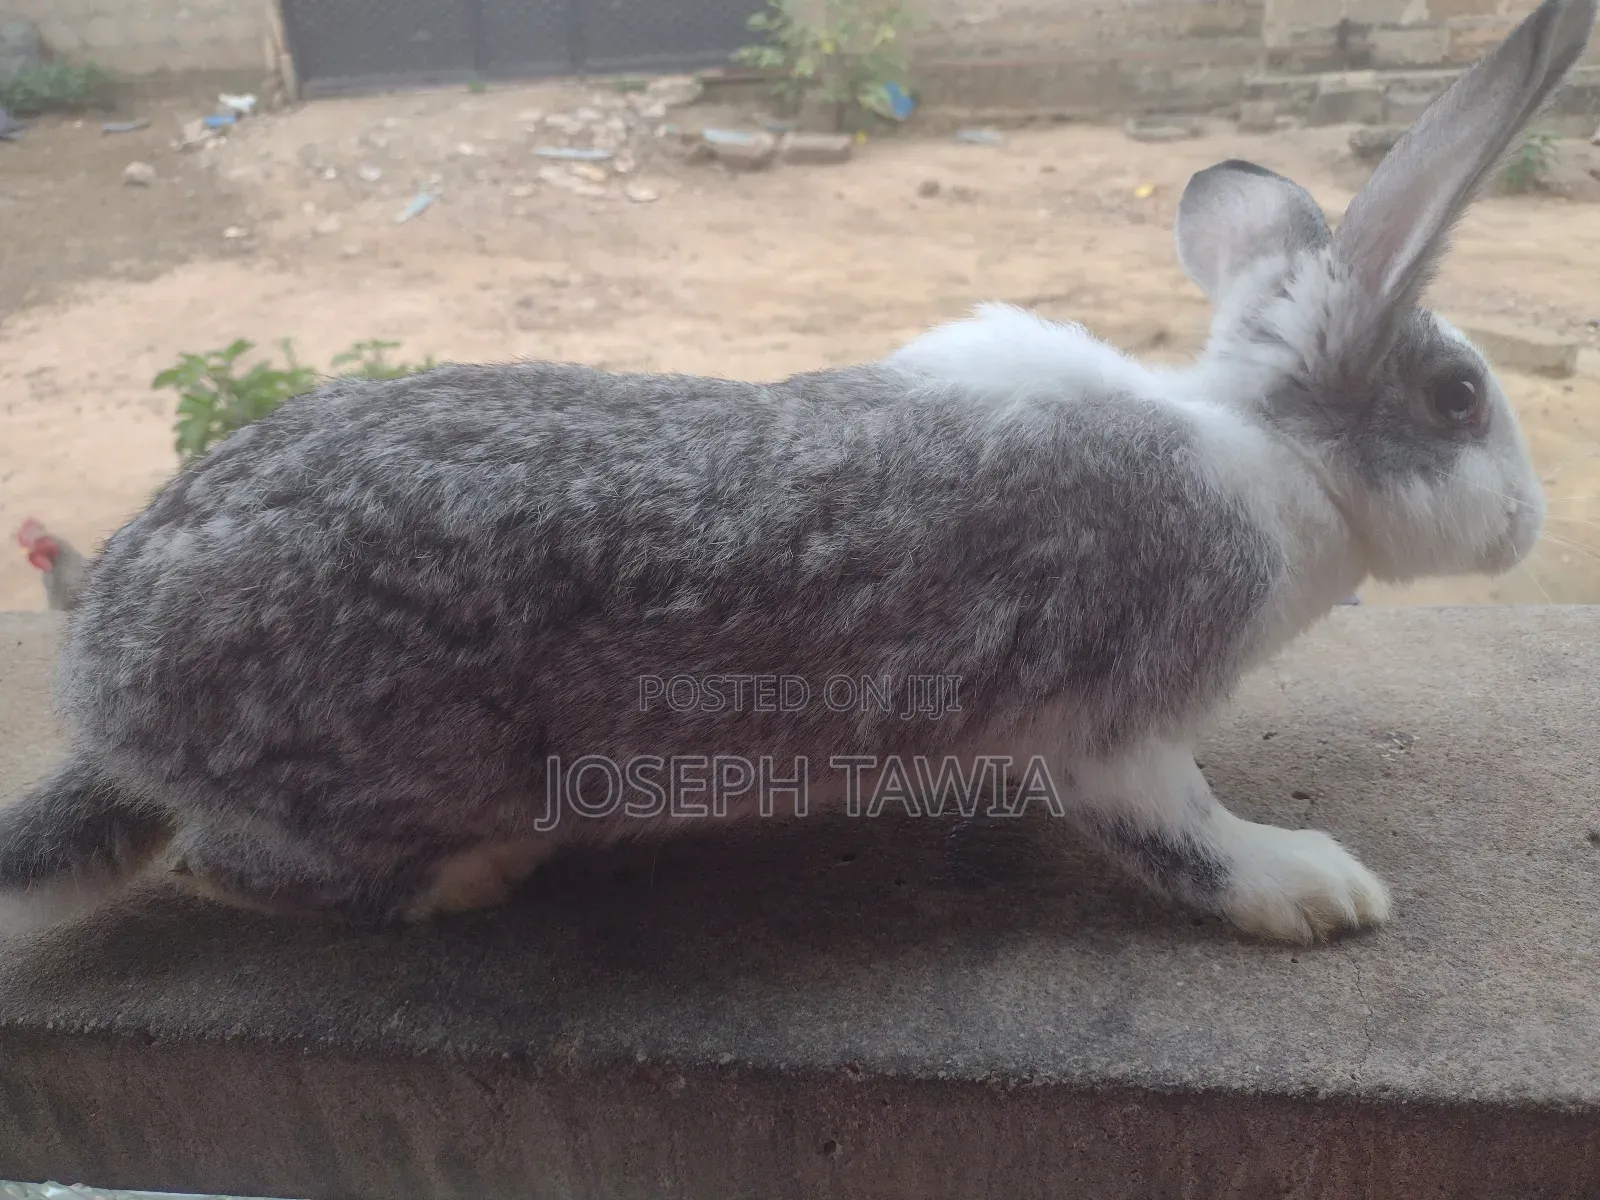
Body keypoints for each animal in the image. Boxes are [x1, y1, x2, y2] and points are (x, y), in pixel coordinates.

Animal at [0, 0, 1588, 946]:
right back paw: (475, 874)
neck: (1266, 452)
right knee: (229, 863)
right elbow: (1178, 835)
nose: (1526, 525)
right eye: (1458, 398)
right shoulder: (1118, 721)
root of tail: (107, 685)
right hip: (401, 760)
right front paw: (1320, 890)